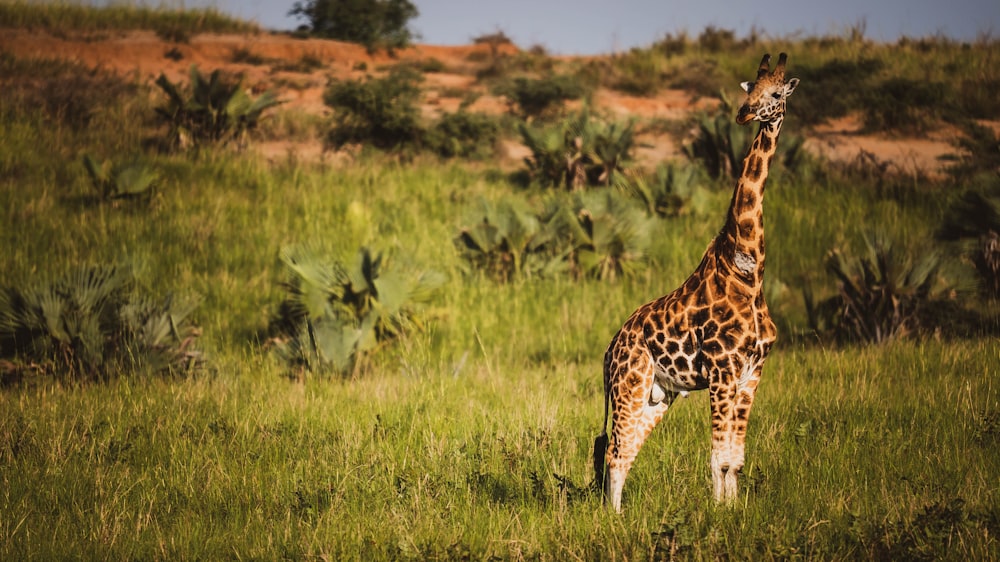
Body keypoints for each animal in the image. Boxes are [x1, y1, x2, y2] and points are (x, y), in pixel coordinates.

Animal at [592, 51, 796, 508]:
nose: (744, 113)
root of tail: (610, 348)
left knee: (625, 451)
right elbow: (718, 458)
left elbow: (735, 458)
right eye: (751, 90)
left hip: (659, 393)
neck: (748, 271)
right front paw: (718, 513)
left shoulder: (752, 372)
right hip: (630, 383)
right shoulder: (722, 369)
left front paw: (733, 511)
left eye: (776, 94)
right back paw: (612, 519)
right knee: (614, 451)